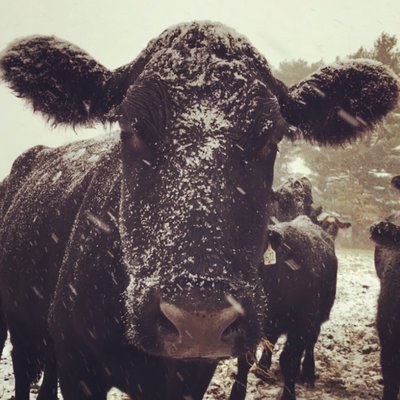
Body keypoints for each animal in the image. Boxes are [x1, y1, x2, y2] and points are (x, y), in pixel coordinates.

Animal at [0, 21, 398, 400]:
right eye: (130, 130)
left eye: (271, 138)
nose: (198, 321)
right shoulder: (77, 364)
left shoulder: (194, 375)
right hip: (20, 327)